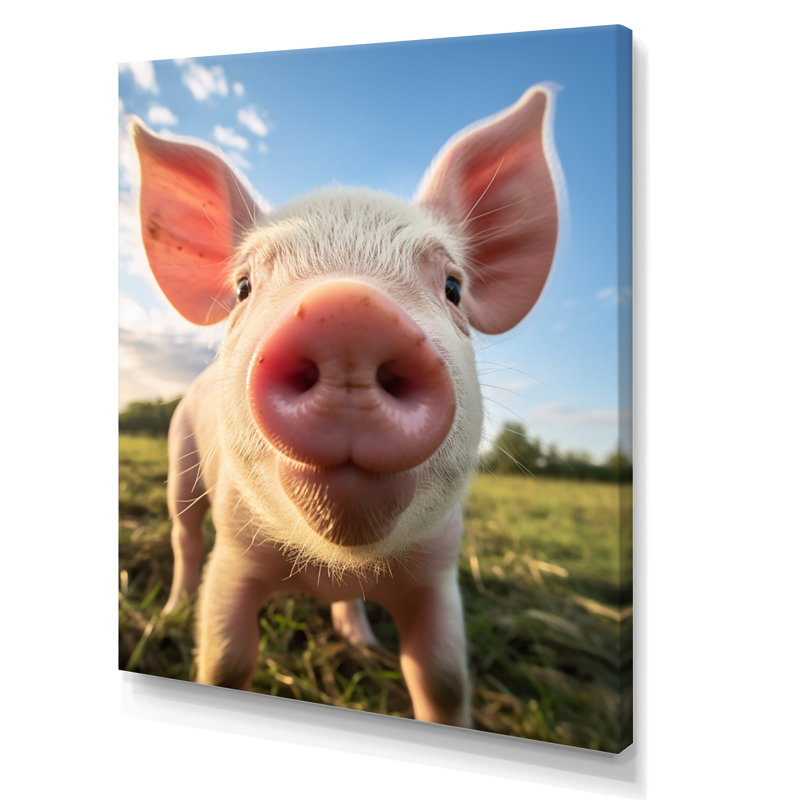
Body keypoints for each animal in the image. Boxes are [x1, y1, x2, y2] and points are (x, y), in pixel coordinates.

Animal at [130, 84, 560, 728]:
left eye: (454, 288)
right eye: (243, 287)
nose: (350, 313)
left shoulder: (438, 571)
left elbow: (442, 681)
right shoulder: (235, 550)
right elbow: (227, 659)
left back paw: (362, 642)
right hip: (179, 460)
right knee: (184, 538)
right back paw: (172, 612)